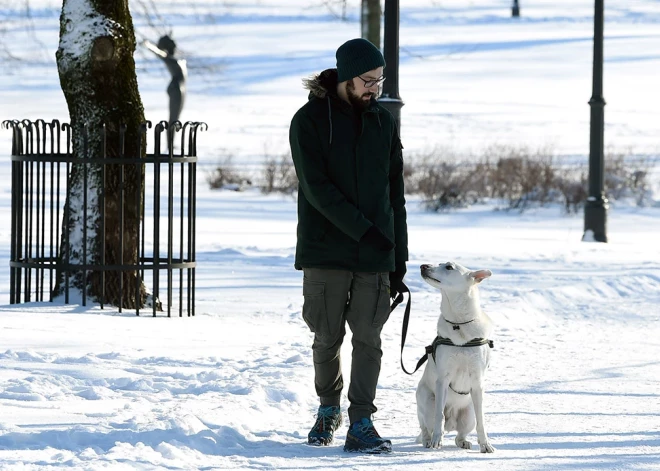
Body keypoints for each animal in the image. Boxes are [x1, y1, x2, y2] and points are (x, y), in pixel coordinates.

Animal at [418, 262, 496, 454]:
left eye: (448, 267)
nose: (423, 266)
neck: (458, 324)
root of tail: (451, 422)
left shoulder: (477, 382)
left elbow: (482, 421)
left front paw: (485, 444)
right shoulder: (443, 380)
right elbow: (439, 416)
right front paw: (436, 441)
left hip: (469, 415)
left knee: (459, 435)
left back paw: (464, 442)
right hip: (426, 402)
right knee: (426, 426)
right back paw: (428, 440)